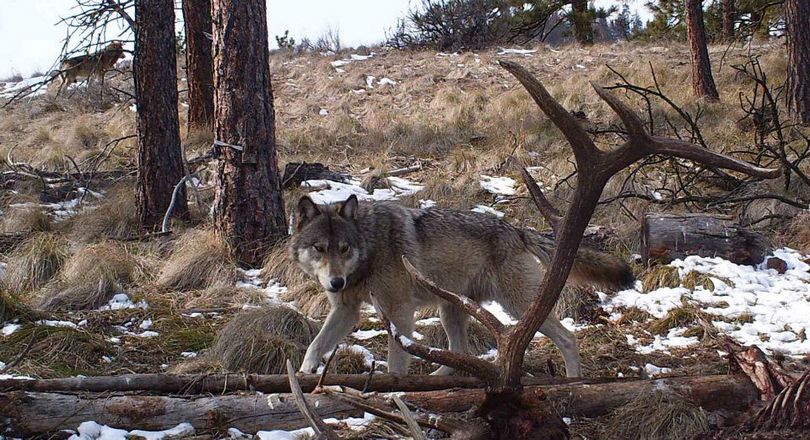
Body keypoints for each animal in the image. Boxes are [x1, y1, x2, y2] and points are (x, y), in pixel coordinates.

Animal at [288, 194, 636, 376]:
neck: (370, 247)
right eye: (320, 248)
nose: (336, 282)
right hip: (450, 308)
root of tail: (516, 229)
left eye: (344, 248)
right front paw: (303, 377)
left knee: (567, 338)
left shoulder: (399, 313)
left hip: (515, 305)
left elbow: (396, 364)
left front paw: (393, 392)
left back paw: (573, 381)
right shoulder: (346, 310)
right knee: (460, 352)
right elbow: (315, 344)